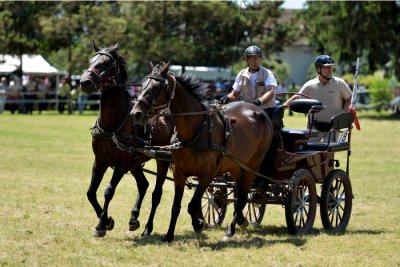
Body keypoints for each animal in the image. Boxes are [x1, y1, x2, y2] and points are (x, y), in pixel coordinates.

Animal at [80, 43, 175, 238]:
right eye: (91, 60)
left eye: (105, 62)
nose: (84, 82)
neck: (112, 124)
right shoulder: (100, 161)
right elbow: (91, 193)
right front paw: (106, 221)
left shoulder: (122, 164)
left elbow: (108, 191)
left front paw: (101, 224)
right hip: (136, 162)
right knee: (144, 185)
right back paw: (133, 218)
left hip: (161, 160)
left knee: (156, 193)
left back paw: (147, 227)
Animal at [130, 62, 274, 243]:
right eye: (142, 85)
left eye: (156, 87)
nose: (135, 113)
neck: (196, 130)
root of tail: (260, 112)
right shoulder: (179, 173)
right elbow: (176, 206)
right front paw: (169, 235)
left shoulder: (207, 175)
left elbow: (192, 205)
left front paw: (198, 224)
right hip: (235, 166)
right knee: (240, 194)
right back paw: (241, 220)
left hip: (251, 167)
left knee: (242, 197)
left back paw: (231, 230)